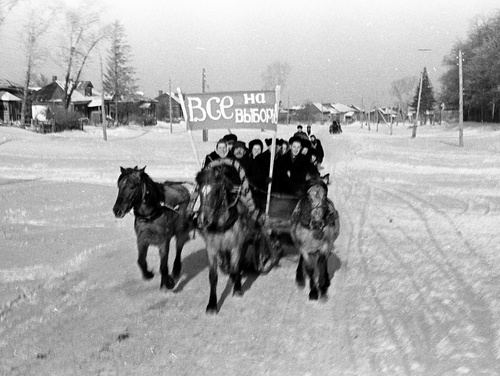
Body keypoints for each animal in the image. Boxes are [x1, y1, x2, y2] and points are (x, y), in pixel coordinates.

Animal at [196, 164, 258, 314]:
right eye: (199, 191)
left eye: (217, 191)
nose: (202, 220)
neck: (221, 226)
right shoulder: (212, 249)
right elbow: (213, 277)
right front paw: (212, 304)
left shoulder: (237, 246)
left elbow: (236, 267)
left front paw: (237, 289)